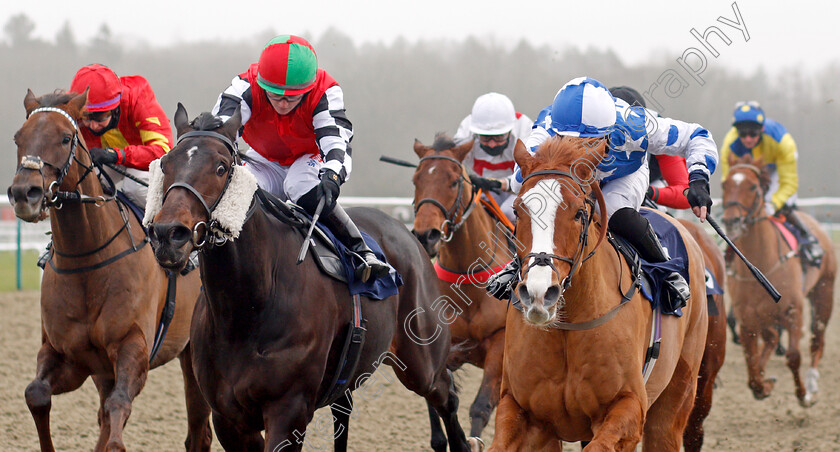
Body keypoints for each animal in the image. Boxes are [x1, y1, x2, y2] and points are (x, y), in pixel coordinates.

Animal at [7, 89, 210, 452]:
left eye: (65, 137)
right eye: (19, 137)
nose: (23, 193)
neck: (86, 262)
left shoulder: (133, 350)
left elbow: (118, 411)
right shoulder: (68, 356)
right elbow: (36, 394)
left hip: (193, 354)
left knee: (198, 432)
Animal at [148, 105, 482, 452]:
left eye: (221, 167)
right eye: (165, 163)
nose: (169, 234)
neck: (248, 308)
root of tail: (408, 234)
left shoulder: (289, 411)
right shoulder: (228, 418)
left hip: (421, 362)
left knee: (447, 395)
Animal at [410, 132, 516, 440]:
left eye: (455, 180)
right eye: (416, 179)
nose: (427, 234)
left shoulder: (499, 342)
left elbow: (481, 406)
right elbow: (437, 402)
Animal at [488, 138, 712, 452]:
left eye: (579, 213)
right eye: (519, 211)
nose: (539, 293)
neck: (567, 328)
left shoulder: (629, 406)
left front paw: (699, 189)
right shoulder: (524, 412)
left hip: (676, 395)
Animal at [720, 153, 832, 406]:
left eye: (753, 186)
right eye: (724, 185)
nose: (731, 221)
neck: (762, 264)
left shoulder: (793, 311)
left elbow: (794, 356)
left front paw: (803, 395)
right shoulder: (747, 321)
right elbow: (752, 371)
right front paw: (764, 384)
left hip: (824, 293)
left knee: (817, 339)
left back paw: (812, 382)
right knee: (771, 338)